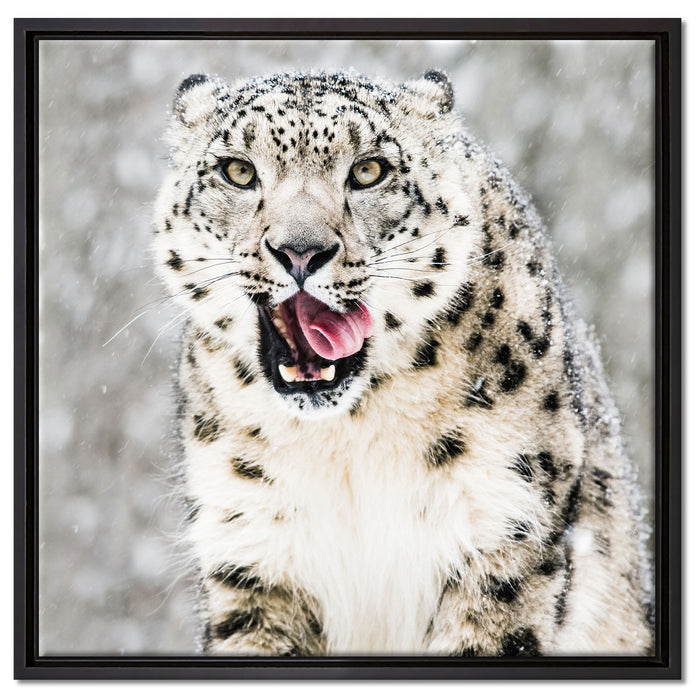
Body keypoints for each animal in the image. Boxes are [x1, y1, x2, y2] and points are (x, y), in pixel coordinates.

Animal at [152, 69, 653, 656]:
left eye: (369, 171)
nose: (301, 251)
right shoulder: (253, 548)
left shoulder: (504, 527)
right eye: (238, 171)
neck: (346, 441)